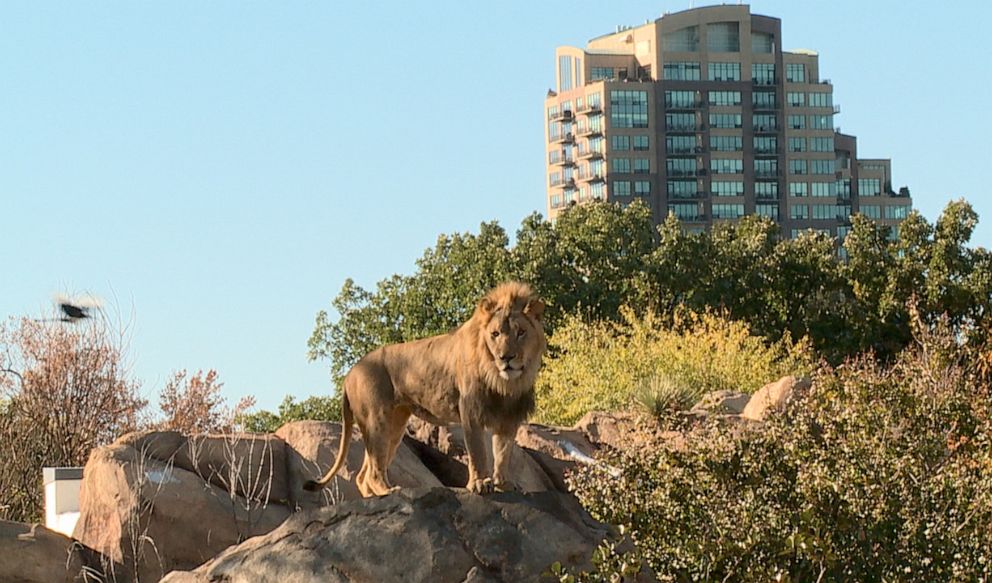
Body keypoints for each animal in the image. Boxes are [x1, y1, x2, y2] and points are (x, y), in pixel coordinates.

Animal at [306, 282, 548, 498]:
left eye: (521, 332)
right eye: (495, 334)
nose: (505, 357)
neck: (504, 382)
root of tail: (350, 374)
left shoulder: (509, 416)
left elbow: (503, 452)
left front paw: (503, 484)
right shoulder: (470, 411)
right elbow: (478, 451)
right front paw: (480, 483)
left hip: (394, 426)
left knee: (363, 475)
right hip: (376, 420)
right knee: (373, 470)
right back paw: (389, 491)